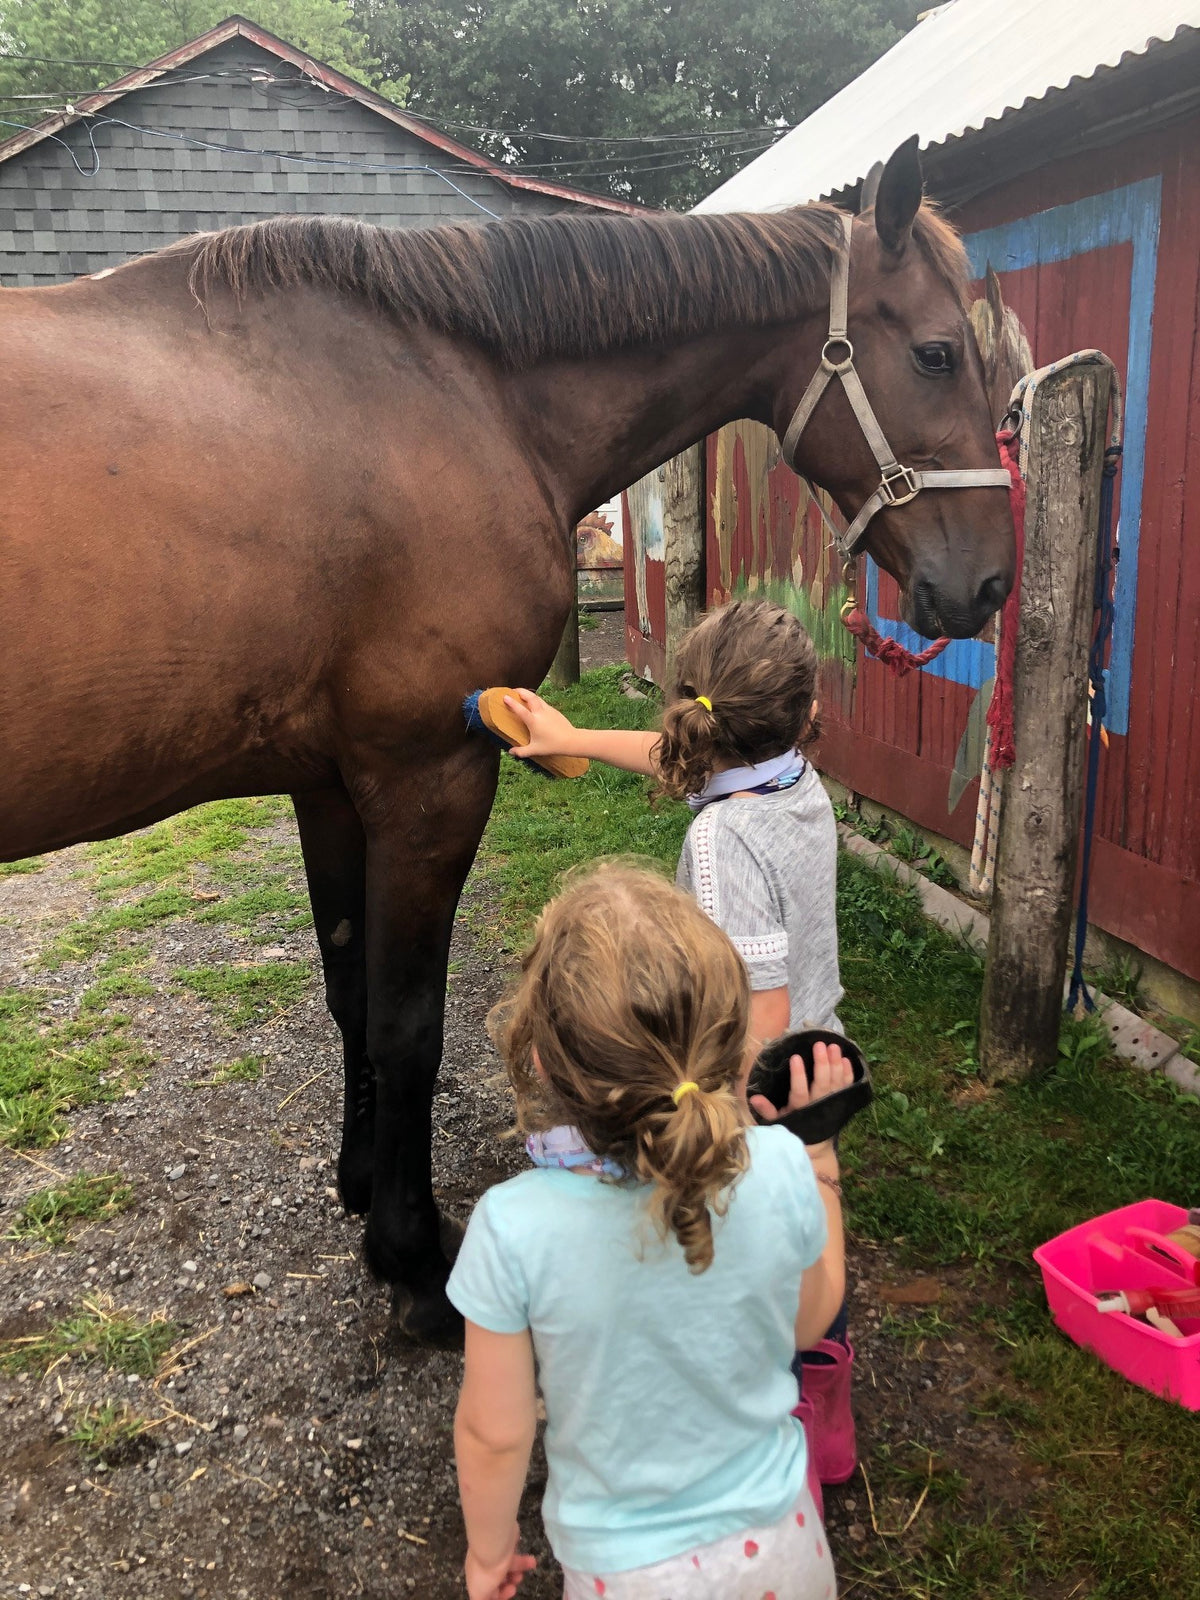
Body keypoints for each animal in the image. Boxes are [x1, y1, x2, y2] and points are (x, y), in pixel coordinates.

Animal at [0, 138, 1013, 1341]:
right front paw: (408, 1256)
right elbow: (407, 1023)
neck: (453, 394)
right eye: (939, 352)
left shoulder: (331, 785)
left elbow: (350, 990)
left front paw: (360, 1187)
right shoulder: (427, 776)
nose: (989, 579)